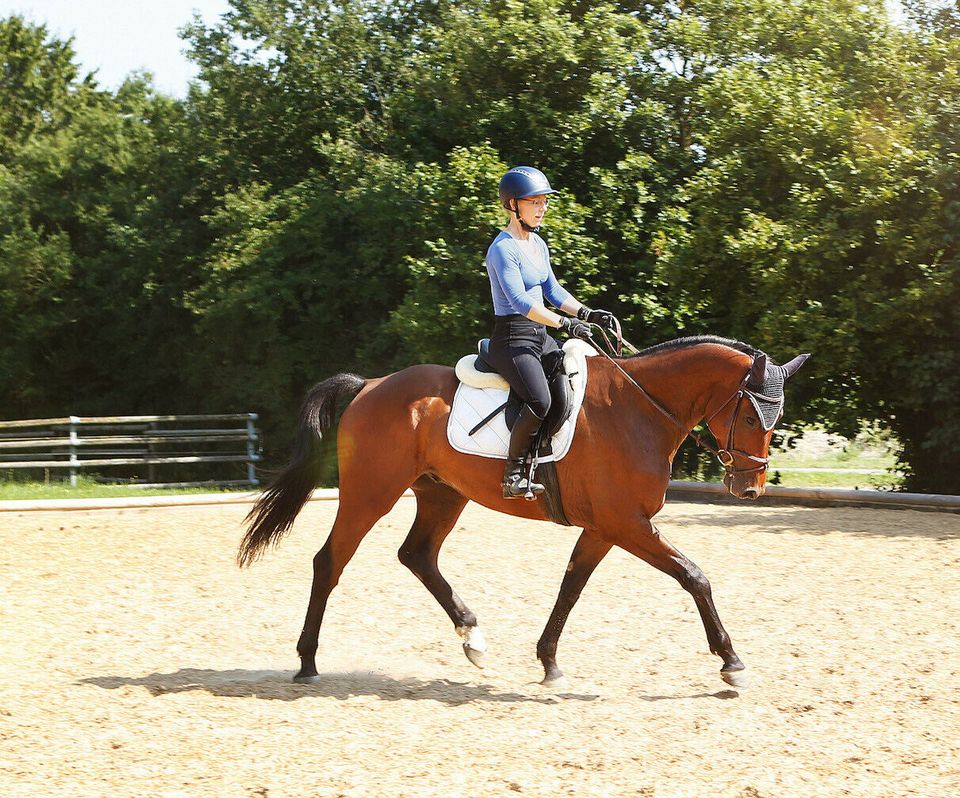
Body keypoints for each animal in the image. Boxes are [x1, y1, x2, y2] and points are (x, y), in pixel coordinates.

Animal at [240, 334, 808, 692]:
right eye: (752, 415)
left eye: (776, 415)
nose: (750, 488)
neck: (641, 409)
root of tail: (371, 384)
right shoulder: (628, 524)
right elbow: (694, 577)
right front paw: (732, 663)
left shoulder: (606, 528)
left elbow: (571, 587)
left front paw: (549, 662)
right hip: (370, 494)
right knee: (329, 562)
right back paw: (308, 661)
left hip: (443, 494)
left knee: (417, 555)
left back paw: (473, 638)